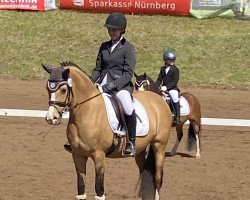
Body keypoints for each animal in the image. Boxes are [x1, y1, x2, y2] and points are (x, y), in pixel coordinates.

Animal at [42, 61, 173, 199]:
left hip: (159, 145)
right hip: (140, 150)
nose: (51, 118)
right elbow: (81, 189)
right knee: (143, 172)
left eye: (63, 90)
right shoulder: (77, 155)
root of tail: (158, 98)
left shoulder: (99, 155)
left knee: (158, 177)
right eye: (47, 88)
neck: (87, 112)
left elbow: (99, 191)